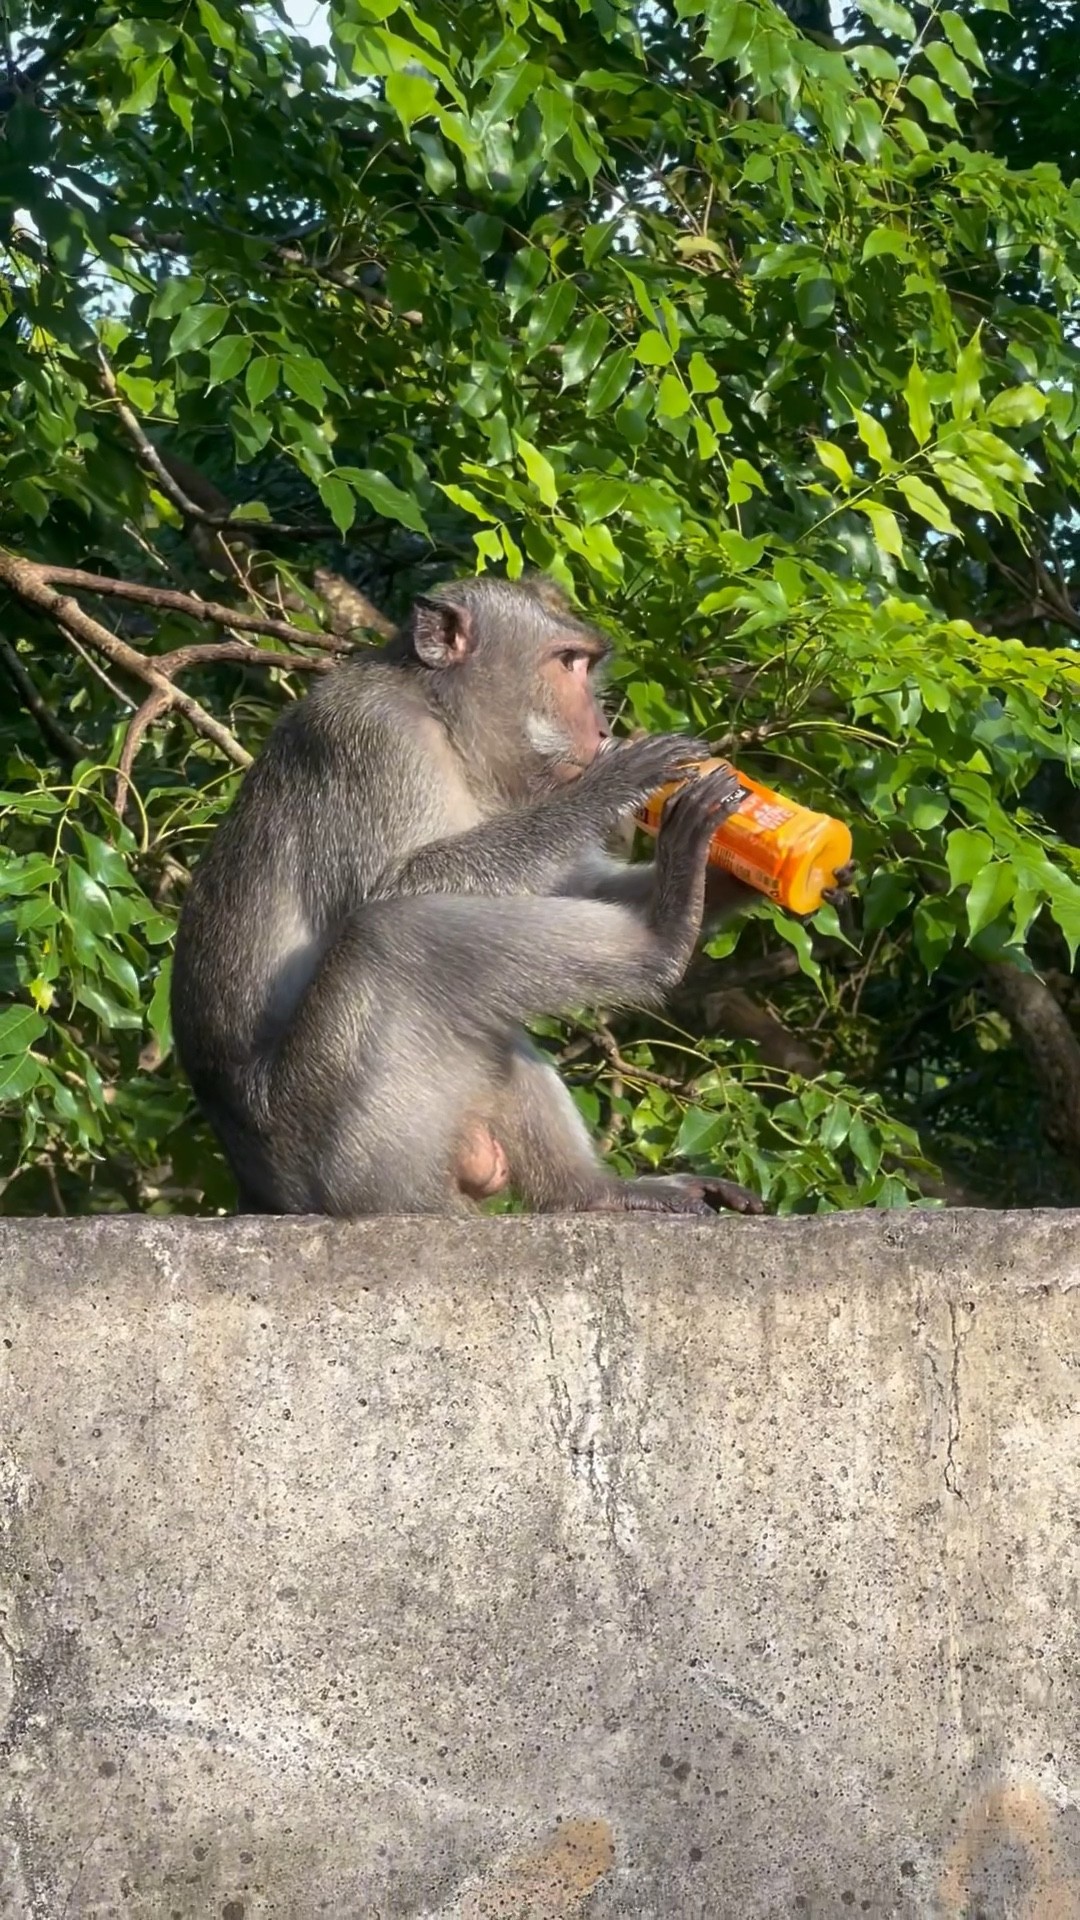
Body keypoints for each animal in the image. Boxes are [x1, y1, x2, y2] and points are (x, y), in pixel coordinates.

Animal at [174, 576, 780, 1221]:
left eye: (587, 665)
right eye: (566, 662)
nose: (599, 728)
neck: (441, 717)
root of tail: (263, 1193)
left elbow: (577, 884)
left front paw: (741, 871)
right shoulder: (373, 741)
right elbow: (395, 886)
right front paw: (615, 782)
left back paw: (594, 1193)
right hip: (343, 1145)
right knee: (393, 937)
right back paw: (661, 936)